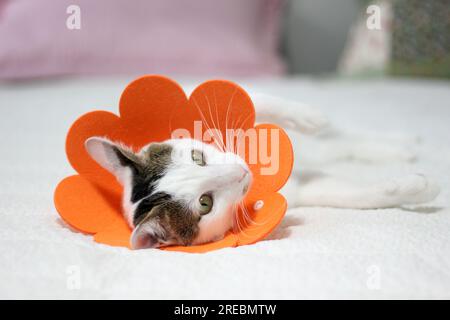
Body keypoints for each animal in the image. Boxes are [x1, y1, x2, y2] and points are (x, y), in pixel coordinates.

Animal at [85, 91, 440, 249]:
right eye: (205, 204)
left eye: (198, 157)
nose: (240, 171)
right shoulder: (306, 190)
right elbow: (355, 195)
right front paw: (418, 187)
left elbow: (259, 99)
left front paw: (307, 115)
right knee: (344, 148)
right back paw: (401, 150)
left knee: (344, 137)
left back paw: (400, 140)